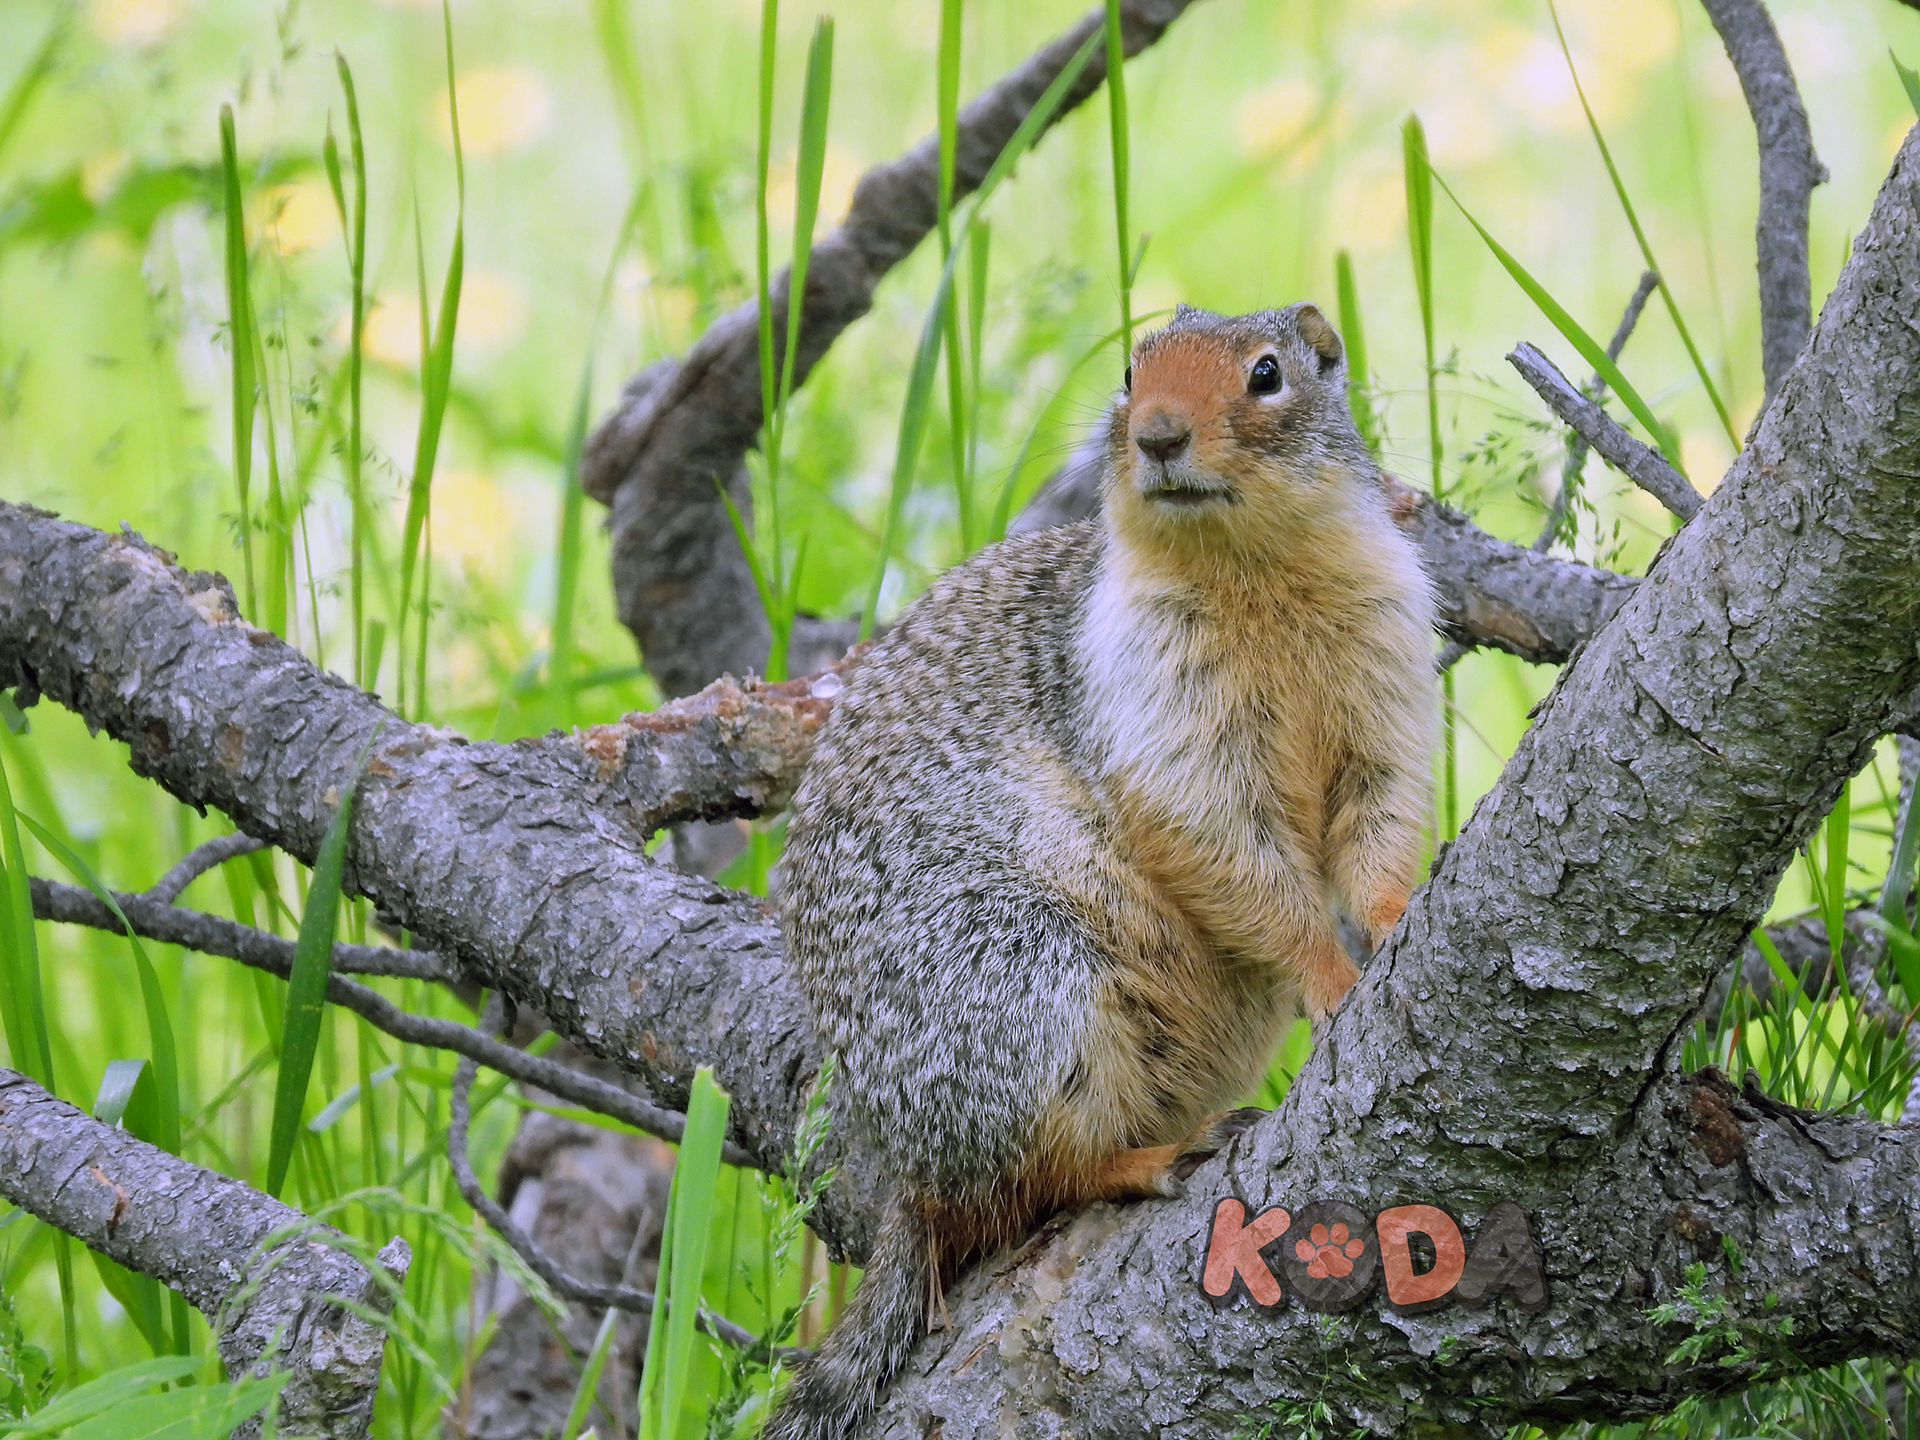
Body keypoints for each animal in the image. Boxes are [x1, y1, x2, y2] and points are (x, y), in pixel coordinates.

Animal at [767, 302, 1439, 1439]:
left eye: (1268, 373)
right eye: (1131, 369)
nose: (1158, 434)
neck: (1251, 570)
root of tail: (902, 1170)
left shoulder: (1385, 656)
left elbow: (1383, 813)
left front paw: (1393, 920)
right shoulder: (1156, 708)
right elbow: (1224, 845)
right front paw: (1330, 975)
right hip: (1024, 982)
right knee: (1032, 1180)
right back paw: (1157, 1157)